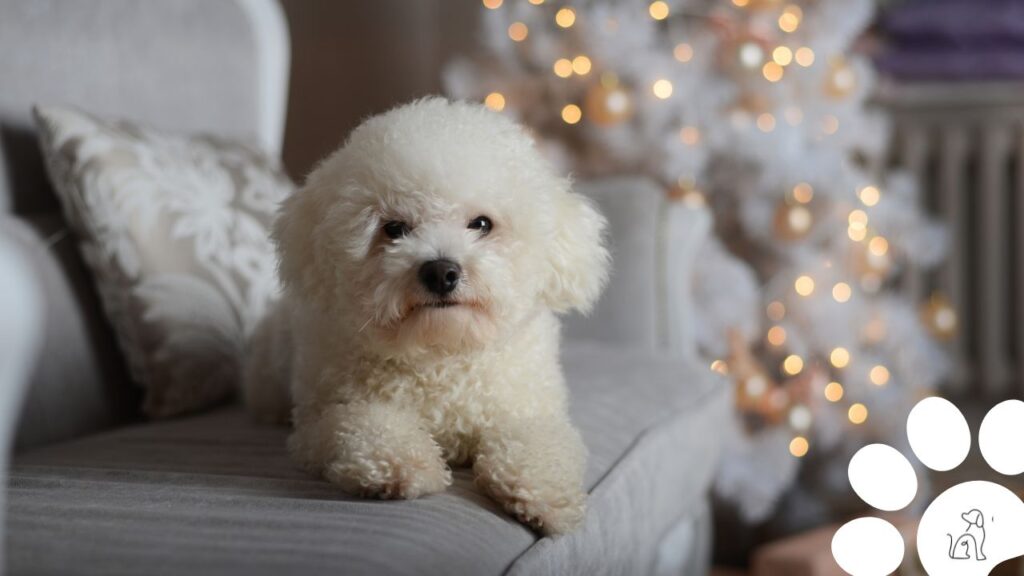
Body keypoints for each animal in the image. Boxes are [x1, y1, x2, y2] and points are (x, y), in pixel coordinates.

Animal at [245, 96, 606, 532]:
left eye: (481, 224)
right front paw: (398, 463)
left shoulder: (528, 409)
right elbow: (362, 423)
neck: (441, 355)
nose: (440, 271)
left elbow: (540, 442)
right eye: (394, 228)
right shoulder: (319, 423)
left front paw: (544, 492)